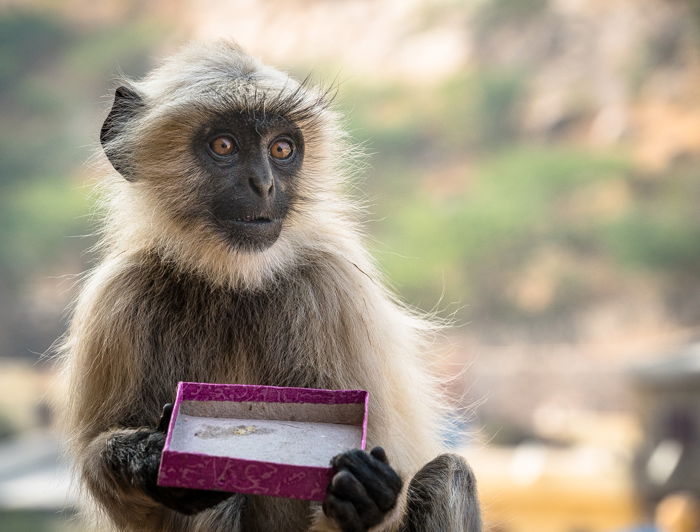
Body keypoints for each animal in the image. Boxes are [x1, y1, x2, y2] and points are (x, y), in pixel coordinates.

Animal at [58, 41, 482, 532]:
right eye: (224, 145)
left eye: (282, 148)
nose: (263, 184)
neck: (233, 281)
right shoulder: (119, 294)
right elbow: (106, 477)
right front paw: (149, 457)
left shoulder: (334, 287)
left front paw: (362, 494)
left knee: (447, 473)